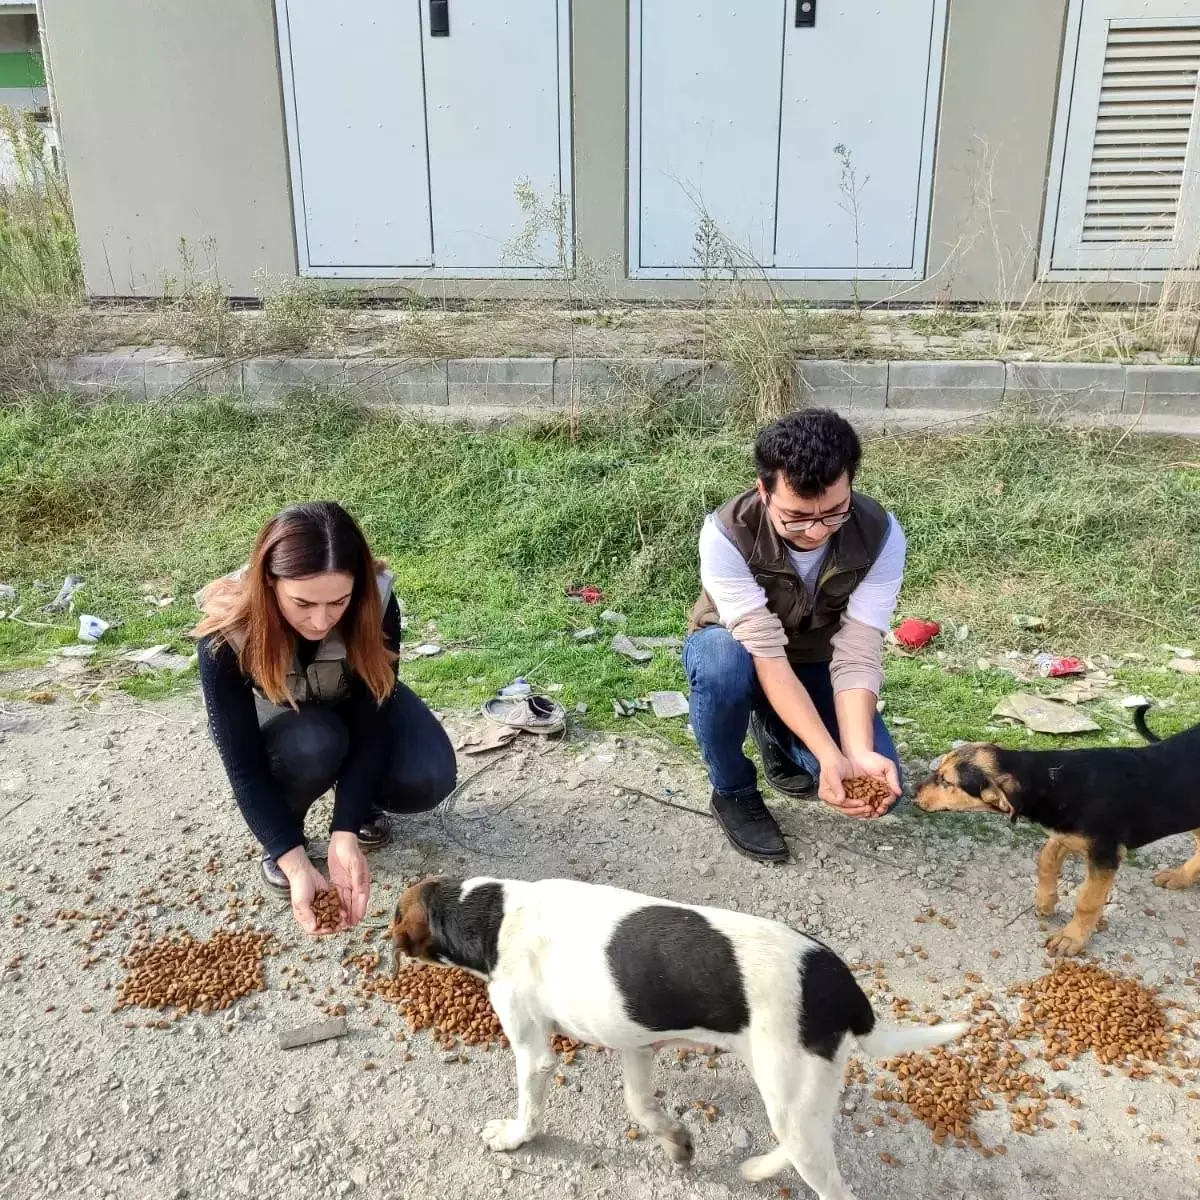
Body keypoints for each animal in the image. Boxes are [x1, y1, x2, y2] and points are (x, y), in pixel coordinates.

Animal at [393, 873, 964, 1200]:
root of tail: (843, 985)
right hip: (798, 1099)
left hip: (789, 1093)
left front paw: (513, 1138)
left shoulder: (534, 1051)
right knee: (800, 1144)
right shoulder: (636, 1044)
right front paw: (677, 1142)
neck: (495, 912)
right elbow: (642, 1108)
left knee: (829, 1182)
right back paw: (757, 1169)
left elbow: (529, 1111)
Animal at [912, 700, 1195, 955]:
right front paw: (1046, 901)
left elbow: (1088, 901)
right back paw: (1180, 877)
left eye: (946, 781)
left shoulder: (1105, 854)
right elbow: (1045, 860)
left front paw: (1071, 938)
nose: (912, 792)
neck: (1052, 779)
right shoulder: (1063, 832)